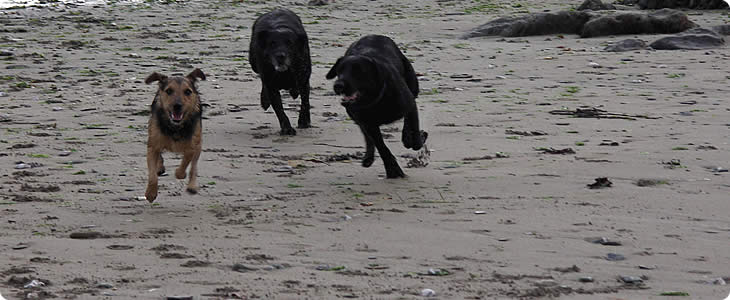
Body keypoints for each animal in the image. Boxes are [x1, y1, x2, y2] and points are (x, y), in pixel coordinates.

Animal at [144, 69, 205, 203]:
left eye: (187, 91)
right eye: (169, 91)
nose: (177, 106)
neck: (175, 127)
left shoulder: (192, 144)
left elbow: (187, 160)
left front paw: (180, 173)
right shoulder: (153, 144)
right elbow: (152, 174)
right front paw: (151, 193)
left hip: (199, 142)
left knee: (194, 166)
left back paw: (192, 186)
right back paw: (160, 167)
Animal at [326, 34, 426, 178]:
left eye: (358, 71)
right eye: (339, 70)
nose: (338, 85)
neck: (376, 99)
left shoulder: (410, 104)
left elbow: (414, 131)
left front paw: (411, 138)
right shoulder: (368, 124)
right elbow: (381, 145)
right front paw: (392, 169)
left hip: (413, 85)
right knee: (367, 137)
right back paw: (368, 157)